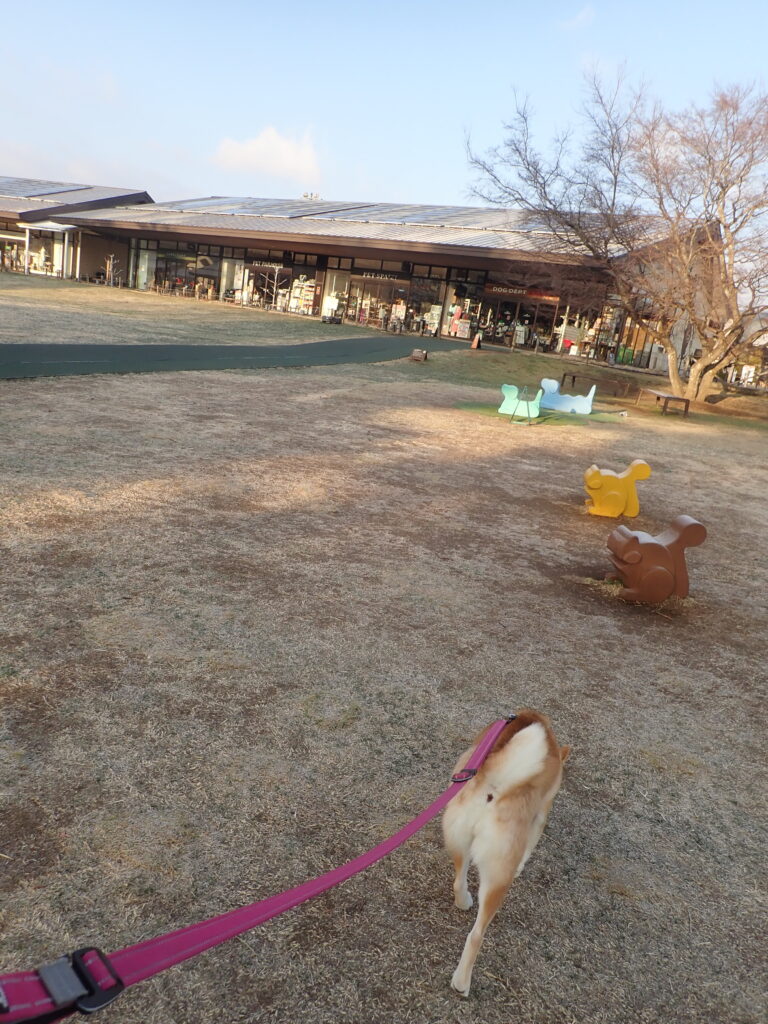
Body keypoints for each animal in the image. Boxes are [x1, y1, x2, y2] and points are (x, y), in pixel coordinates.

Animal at [442, 709, 570, 996]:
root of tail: (495, 786)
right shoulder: (541, 814)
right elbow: (530, 845)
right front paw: (523, 865)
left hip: (457, 837)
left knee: (458, 880)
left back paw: (464, 901)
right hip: (499, 876)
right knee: (476, 935)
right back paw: (462, 982)